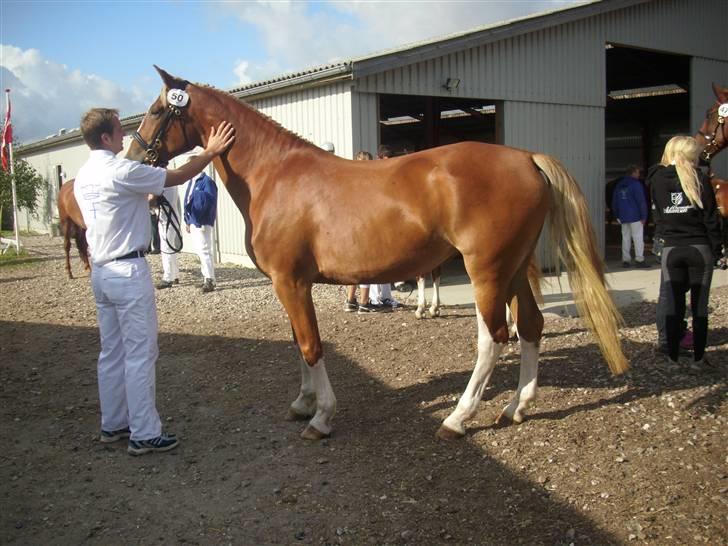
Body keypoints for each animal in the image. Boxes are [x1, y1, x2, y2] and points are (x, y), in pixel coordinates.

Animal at [128, 67, 628, 438]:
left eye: (156, 111)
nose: (134, 158)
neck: (274, 175)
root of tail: (525, 157)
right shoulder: (289, 284)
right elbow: (297, 341)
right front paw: (302, 402)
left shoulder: (291, 281)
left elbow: (310, 344)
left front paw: (321, 416)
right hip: (515, 269)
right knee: (531, 327)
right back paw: (516, 407)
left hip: (487, 273)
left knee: (493, 339)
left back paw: (458, 419)